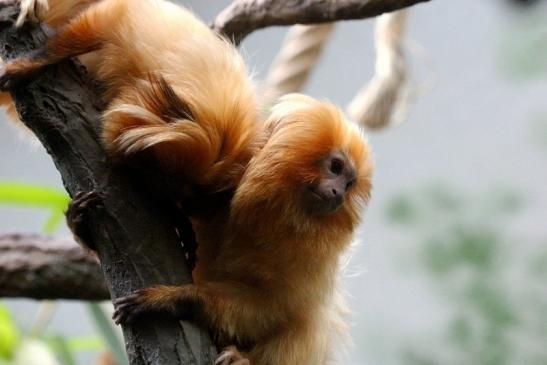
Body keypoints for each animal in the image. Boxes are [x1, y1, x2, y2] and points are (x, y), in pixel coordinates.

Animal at [0, 1, 372, 362]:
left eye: (348, 183)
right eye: (335, 167)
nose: (338, 192)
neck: (259, 214)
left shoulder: (303, 258)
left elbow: (269, 309)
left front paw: (175, 298)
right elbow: (104, 20)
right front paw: (33, 62)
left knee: (306, 328)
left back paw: (241, 359)